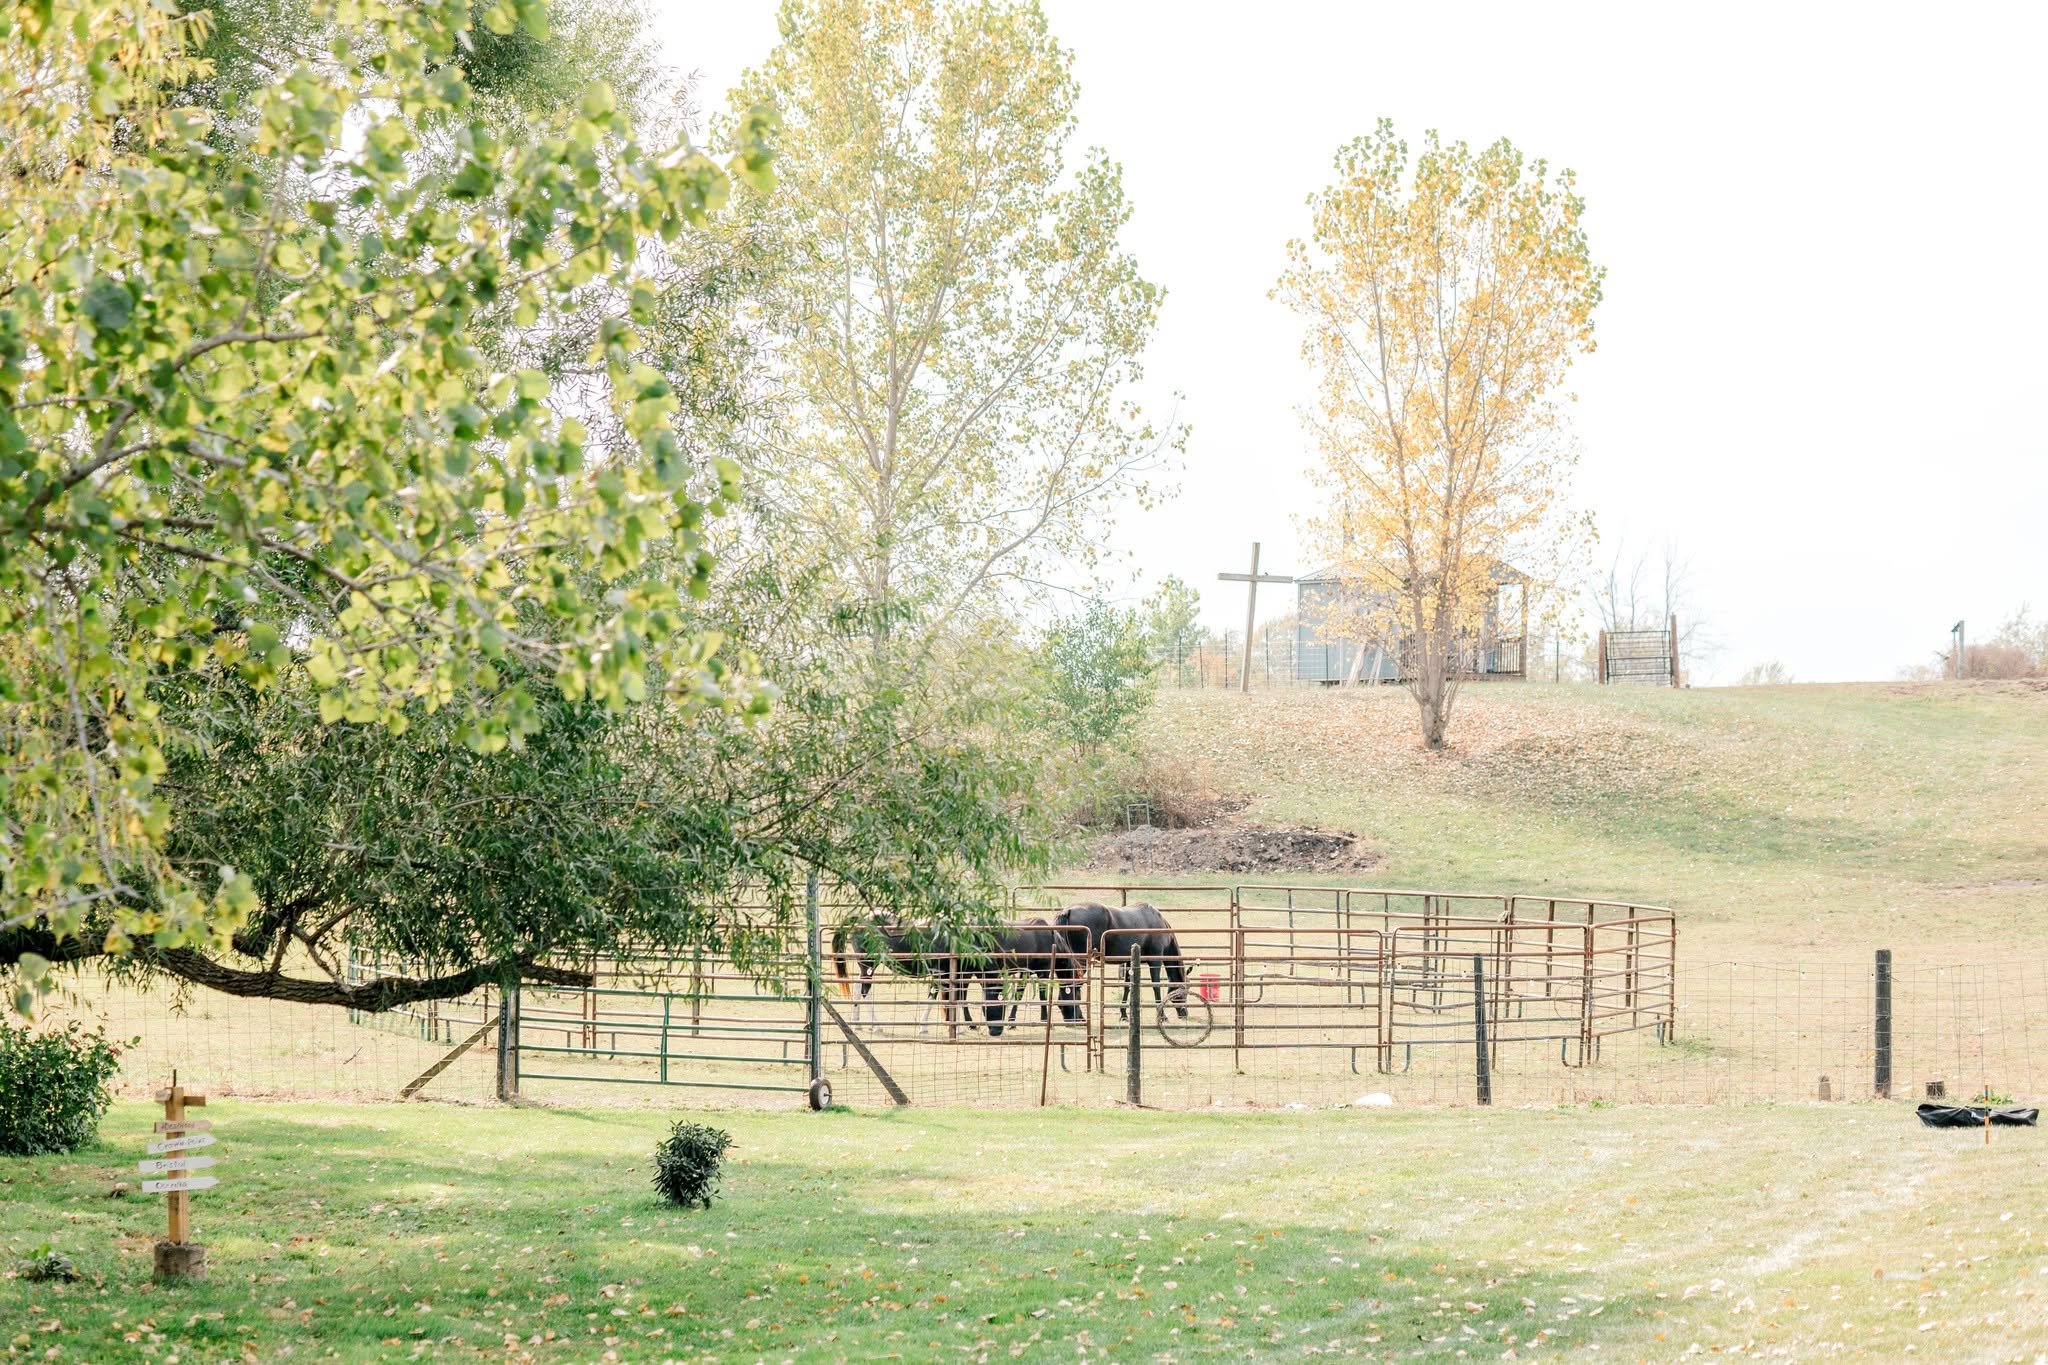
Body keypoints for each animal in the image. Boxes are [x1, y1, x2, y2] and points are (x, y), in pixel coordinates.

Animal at [1053, 901, 1190, 1022]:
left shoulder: (1130, 962)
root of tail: (1067, 911)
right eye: (1184, 992)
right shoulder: (1155, 961)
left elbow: (1127, 987)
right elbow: (1156, 986)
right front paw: (1162, 1016)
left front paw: (1123, 1014)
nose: (1185, 1013)